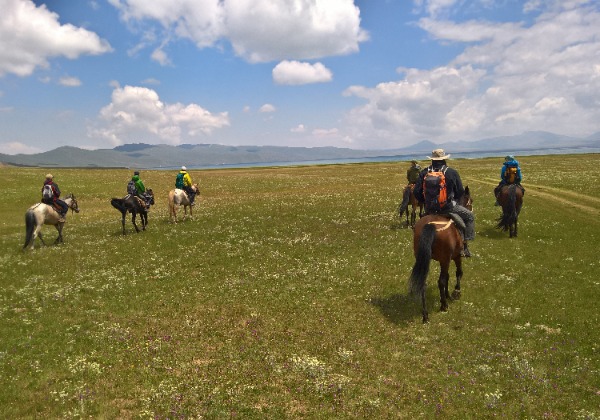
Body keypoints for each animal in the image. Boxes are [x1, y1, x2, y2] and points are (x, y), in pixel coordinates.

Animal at [408, 185, 474, 324]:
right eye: (471, 200)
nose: (471, 209)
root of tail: (430, 225)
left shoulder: (445, 260)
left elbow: (448, 276)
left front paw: (448, 294)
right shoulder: (455, 257)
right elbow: (458, 273)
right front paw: (455, 292)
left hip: (425, 259)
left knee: (424, 283)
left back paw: (425, 314)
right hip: (445, 260)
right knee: (441, 281)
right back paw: (443, 305)